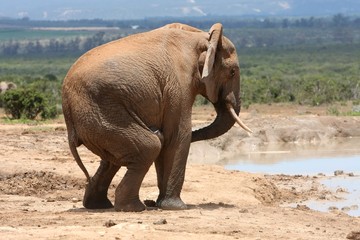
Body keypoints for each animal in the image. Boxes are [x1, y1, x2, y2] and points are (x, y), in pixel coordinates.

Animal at [62, 22, 252, 210]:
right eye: (232, 72)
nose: (153, 127)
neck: (202, 37)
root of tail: (66, 102)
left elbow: (169, 139)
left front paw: (161, 204)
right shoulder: (179, 84)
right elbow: (178, 135)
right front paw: (175, 207)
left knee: (114, 156)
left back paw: (99, 205)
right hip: (102, 112)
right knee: (150, 146)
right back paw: (135, 207)